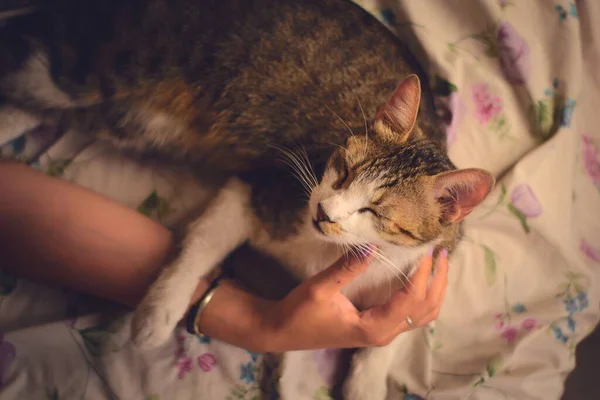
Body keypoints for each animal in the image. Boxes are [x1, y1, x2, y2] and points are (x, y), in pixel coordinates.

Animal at [0, 0, 494, 400]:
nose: (322, 212)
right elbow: (200, 246)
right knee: (32, 74)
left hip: (127, 114)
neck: (328, 253)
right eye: (344, 171)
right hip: (109, 62)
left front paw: (360, 384)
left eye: (377, 211)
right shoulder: (261, 191)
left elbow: (386, 336)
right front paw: (157, 313)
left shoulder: (424, 269)